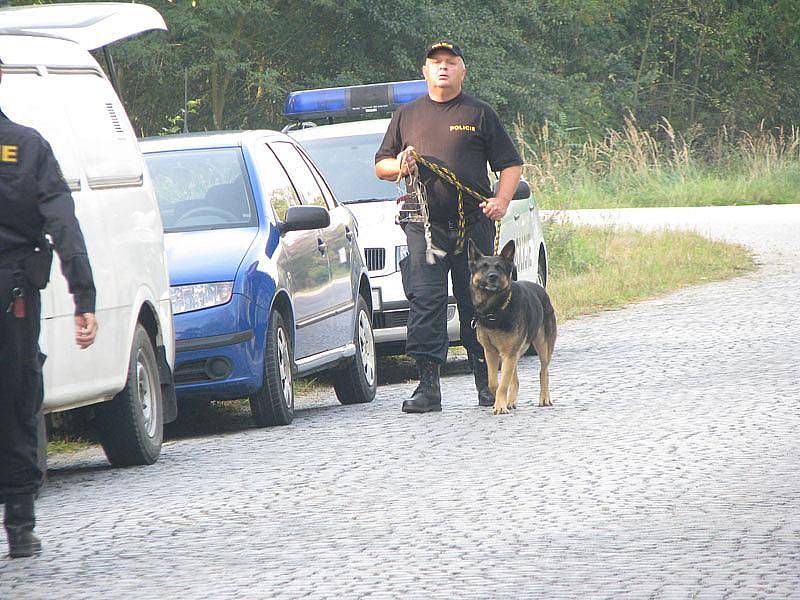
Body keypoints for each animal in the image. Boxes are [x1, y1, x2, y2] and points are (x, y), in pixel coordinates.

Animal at [468, 238, 556, 412]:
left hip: (542, 346)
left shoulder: (509, 353)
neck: (495, 311)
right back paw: (511, 401)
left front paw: (500, 406)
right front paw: (499, 401)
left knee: (544, 371)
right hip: (512, 354)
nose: (493, 276)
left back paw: (544, 398)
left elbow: (503, 383)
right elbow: (494, 382)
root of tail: (540, 289)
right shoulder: (491, 353)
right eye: (484, 267)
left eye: (499, 267)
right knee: (515, 379)